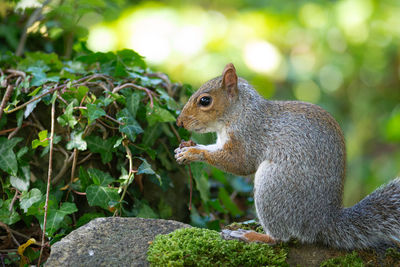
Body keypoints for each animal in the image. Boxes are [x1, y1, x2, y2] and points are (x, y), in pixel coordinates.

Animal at [175, 62, 400, 251]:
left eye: (205, 100)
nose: (179, 122)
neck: (240, 112)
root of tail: (323, 221)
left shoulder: (249, 136)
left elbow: (240, 163)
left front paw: (194, 152)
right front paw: (187, 146)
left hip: (273, 185)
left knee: (280, 238)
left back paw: (250, 236)